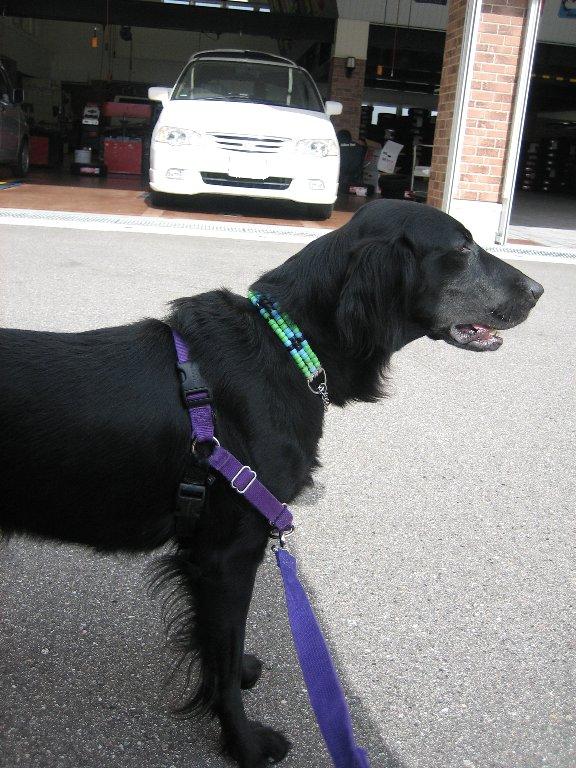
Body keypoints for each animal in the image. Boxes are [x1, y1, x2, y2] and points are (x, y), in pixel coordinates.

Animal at [0, 200, 543, 767]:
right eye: (461, 248)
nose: (538, 290)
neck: (285, 348)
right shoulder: (227, 554)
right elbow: (221, 661)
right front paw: (244, 742)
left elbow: (222, 645)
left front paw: (240, 672)